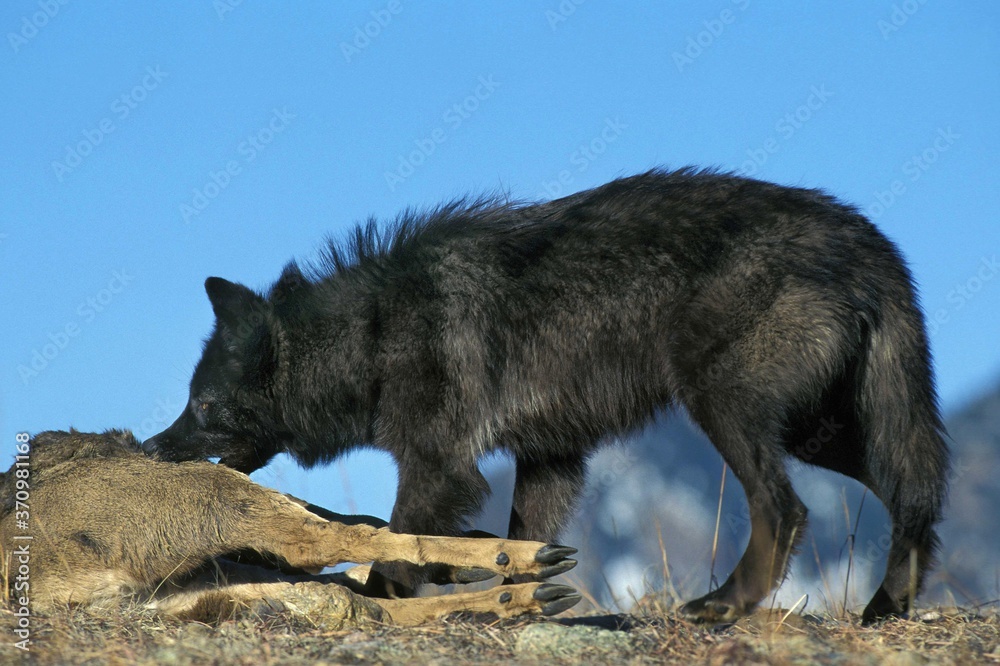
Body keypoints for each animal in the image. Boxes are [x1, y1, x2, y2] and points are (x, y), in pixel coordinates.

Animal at [0, 430, 580, 625]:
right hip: (206, 500)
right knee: (335, 549)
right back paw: (523, 563)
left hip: (203, 570)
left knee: (348, 588)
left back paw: (514, 593)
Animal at [144, 167, 949, 624]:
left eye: (204, 407)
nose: (149, 449)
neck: (371, 332)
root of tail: (866, 238)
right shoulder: (551, 459)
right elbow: (518, 539)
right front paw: (514, 588)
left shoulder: (438, 466)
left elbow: (401, 536)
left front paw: (379, 594)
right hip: (825, 431)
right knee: (916, 496)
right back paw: (884, 610)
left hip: (730, 409)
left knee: (786, 510)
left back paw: (725, 606)